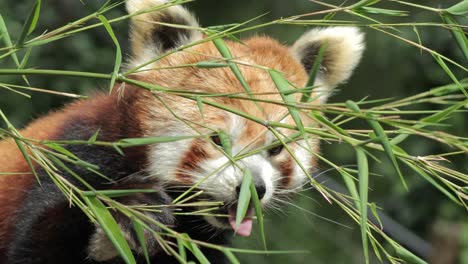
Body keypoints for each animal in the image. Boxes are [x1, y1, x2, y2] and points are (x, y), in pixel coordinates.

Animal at [0, 1, 366, 262]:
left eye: (275, 149)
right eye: (218, 140)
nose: (253, 189)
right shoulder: (73, 156)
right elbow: (38, 243)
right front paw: (135, 203)